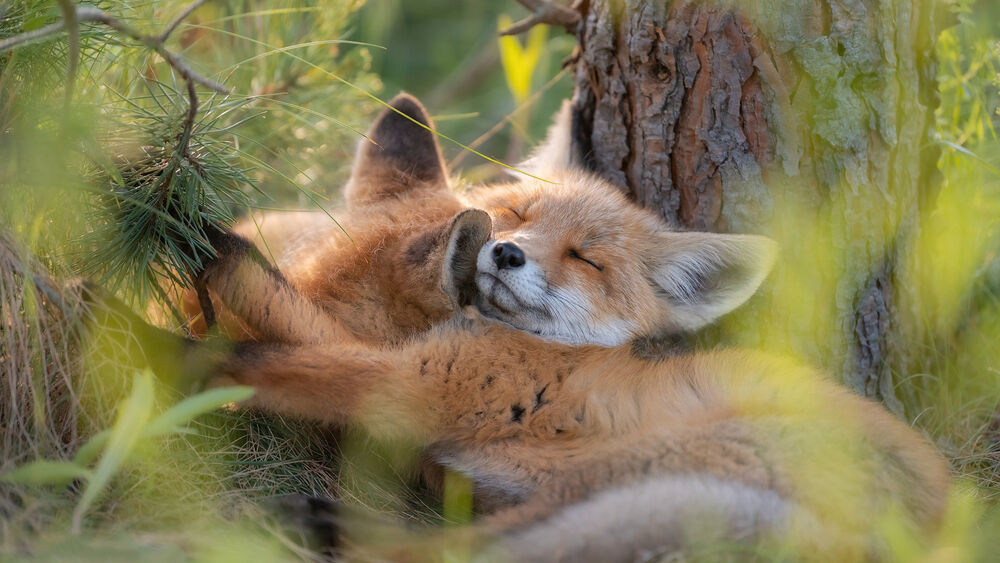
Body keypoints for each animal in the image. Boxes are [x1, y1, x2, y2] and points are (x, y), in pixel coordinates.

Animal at [108, 94, 950, 560]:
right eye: (517, 213)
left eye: (587, 259)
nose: (505, 252)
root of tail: (948, 516)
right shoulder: (414, 384)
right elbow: (288, 311)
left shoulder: (417, 380)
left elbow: (264, 338)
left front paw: (163, 307)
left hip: (638, 473)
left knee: (452, 556)